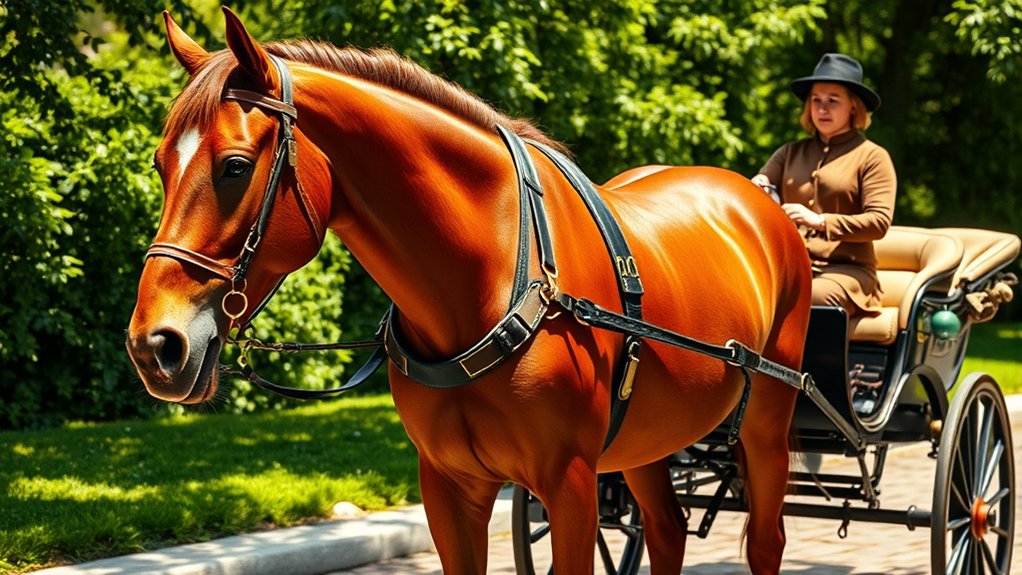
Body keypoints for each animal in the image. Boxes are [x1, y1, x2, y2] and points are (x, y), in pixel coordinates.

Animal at [126, 8, 812, 574]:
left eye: (235, 167)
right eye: (159, 164)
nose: (154, 346)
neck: (486, 285)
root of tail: (759, 203)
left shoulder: (569, 484)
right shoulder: (449, 486)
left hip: (767, 422)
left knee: (766, 541)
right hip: (648, 439)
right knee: (666, 531)